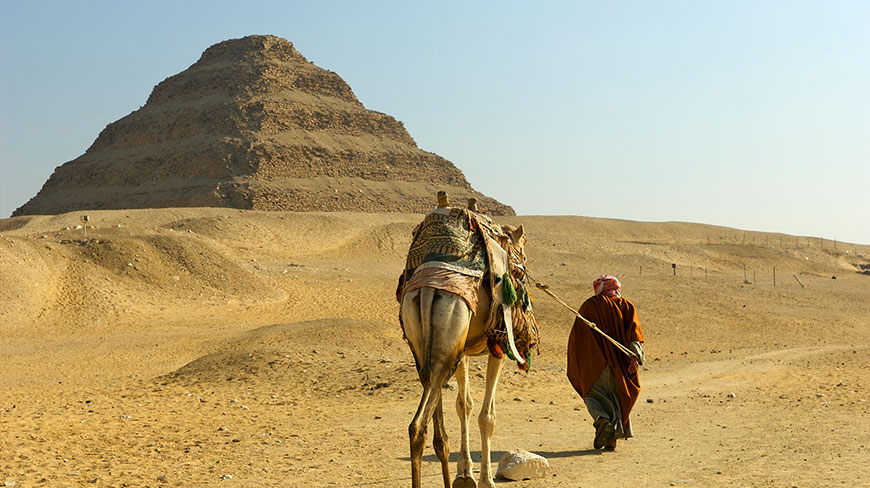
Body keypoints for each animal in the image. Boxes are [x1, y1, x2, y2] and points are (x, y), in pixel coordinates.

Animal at [400, 208, 528, 488]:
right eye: (522, 251)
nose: (522, 266)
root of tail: (427, 290)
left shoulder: (465, 352)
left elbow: (464, 405)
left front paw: (465, 474)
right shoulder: (498, 347)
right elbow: (486, 416)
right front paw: (485, 480)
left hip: (430, 349)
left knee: (432, 421)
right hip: (448, 346)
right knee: (418, 425)